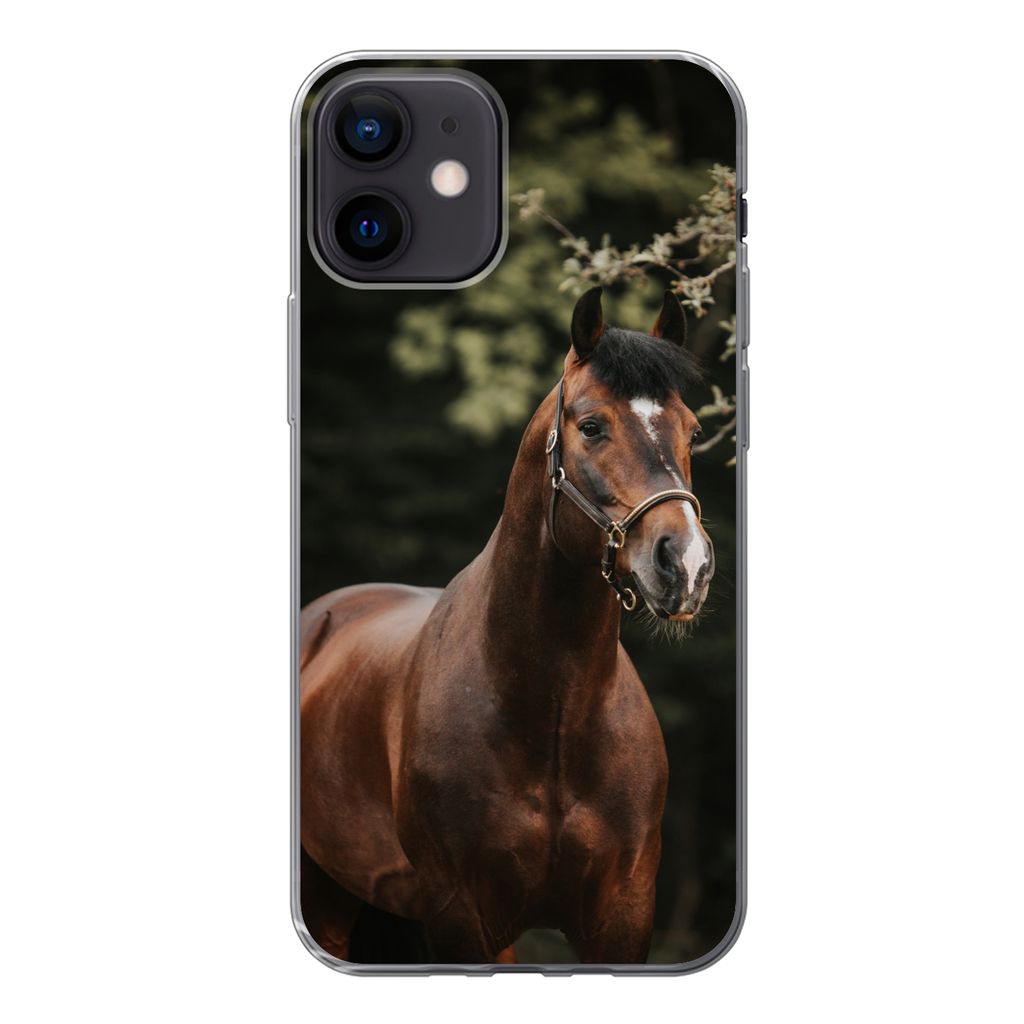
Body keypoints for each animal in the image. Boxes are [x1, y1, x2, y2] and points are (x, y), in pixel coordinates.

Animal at [298, 287, 715, 964]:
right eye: (591, 426)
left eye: (693, 430)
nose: (686, 564)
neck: (552, 713)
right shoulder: (462, 915)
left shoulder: (623, 916)